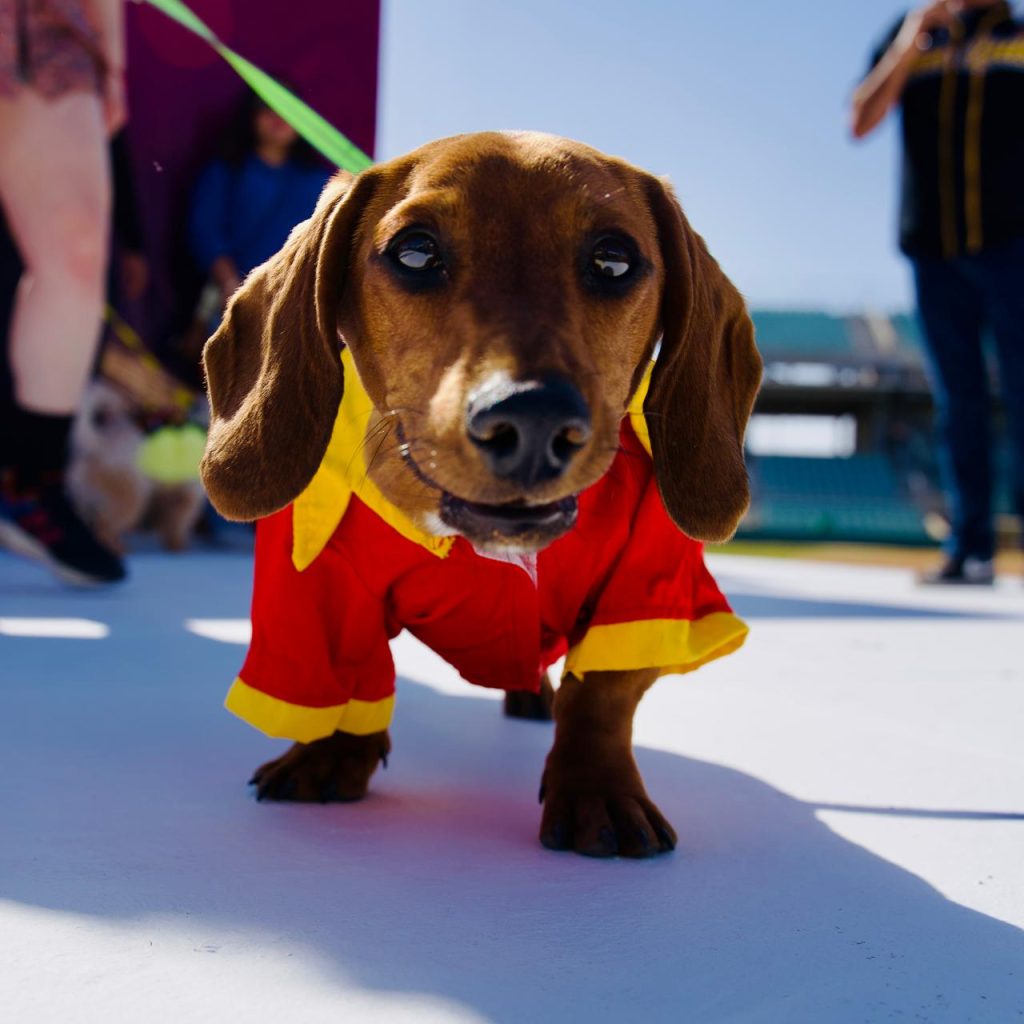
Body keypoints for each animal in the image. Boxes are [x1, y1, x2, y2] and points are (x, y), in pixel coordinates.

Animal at [201, 132, 761, 860]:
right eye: (415, 251)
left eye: (614, 259)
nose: (532, 420)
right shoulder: (316, 586)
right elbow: (346, 678)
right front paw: (328, 753)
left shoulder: (649, 585)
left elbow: (601, 699)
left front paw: (598, 788)